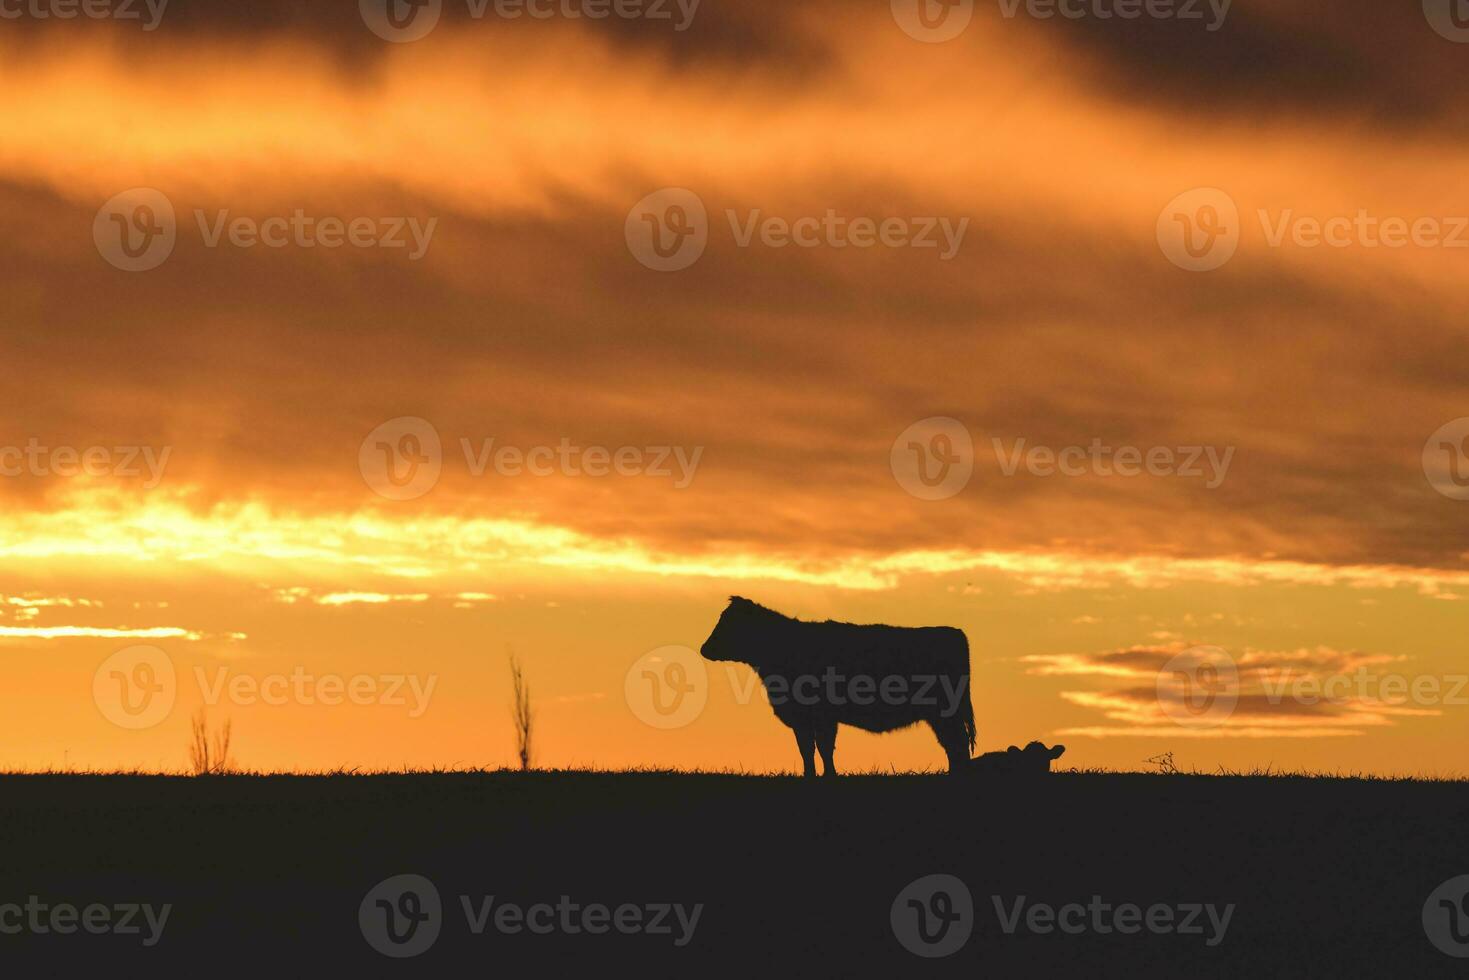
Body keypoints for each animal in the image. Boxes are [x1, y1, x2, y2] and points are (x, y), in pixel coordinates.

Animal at [699, 593, 975, 775]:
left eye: (729, 623)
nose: (705, 649)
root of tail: (954, 632)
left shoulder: (820, 715)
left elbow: (822, 747)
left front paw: (828, 776)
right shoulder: (804, 718)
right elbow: (807, 749)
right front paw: (811, 776)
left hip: (945, 712)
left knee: (957, 744)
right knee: (953, 745)